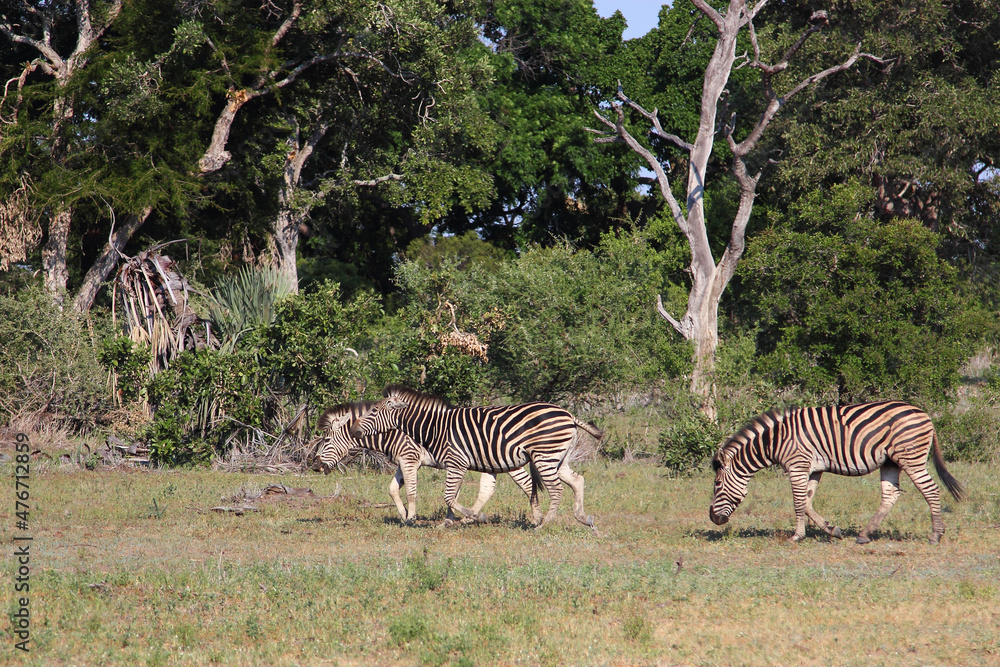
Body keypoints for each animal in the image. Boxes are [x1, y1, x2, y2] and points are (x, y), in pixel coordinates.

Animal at [308, 401, 538, 524]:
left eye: (326, 441)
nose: (315, 466)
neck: (391, 431)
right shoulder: (404, 462)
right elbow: (392, 489)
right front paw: (403, 514)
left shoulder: (409, 458)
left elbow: (411, 491)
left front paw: (411, 517)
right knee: (488, 490)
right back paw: (469, 517)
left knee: (526, 484)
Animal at [350, 385, 604, 529]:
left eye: (373, 411)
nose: (353, 429)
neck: (436, 427)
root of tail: (569, 414)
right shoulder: (455, 465)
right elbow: (452, 496)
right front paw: (453, 521)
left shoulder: (456, 462)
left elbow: (449, 496)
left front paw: (476, 517)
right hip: (558, 458)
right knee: (577, 481)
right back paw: (583, 518)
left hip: (544, 456)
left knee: (557, 489)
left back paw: (544, 524)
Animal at [709, 400, 965, 544]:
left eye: (717, 485)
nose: (713, 518)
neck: (776, 440)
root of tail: (925, 414)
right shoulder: (814, 469)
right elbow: (807, 502)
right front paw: (833, 530)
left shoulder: (797, 465)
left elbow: (798, 503)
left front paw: (796, 536)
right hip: (890, 461)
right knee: (890, 495)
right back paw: (864, 535)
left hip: (911, 457)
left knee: (930, 490)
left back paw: (936, 535)